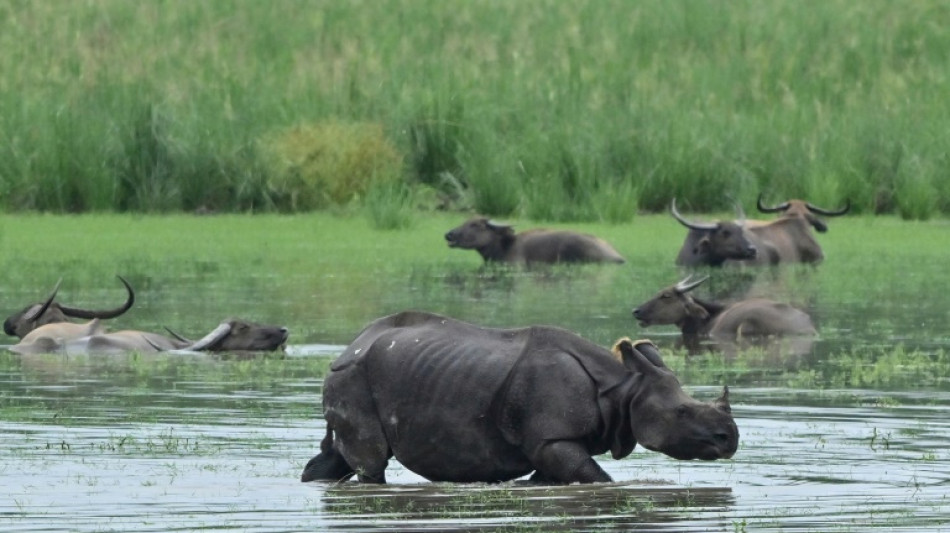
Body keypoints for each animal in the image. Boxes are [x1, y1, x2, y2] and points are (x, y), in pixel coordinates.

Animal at [300, 311, 737, 484]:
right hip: (354, 376)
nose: (729, 438)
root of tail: (350, 347)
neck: (624, 388)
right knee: (371, 460)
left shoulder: (551, 443)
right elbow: (598, 479)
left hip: (359, 375)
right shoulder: (552, 437)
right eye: (682, 411)